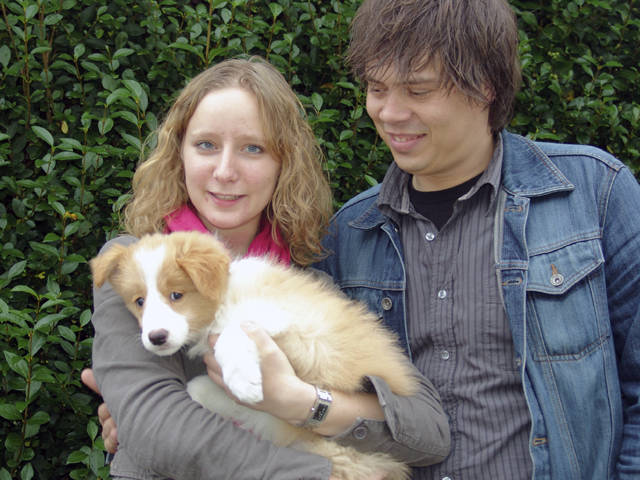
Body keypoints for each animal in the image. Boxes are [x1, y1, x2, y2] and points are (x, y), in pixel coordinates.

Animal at [90, 231, 418, 480]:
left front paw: (243, 382)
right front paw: (219, 389)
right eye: (139, 301)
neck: (223, 298)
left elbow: (233, 331)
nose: (156, 338)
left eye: (176, 295)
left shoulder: (290, 323)